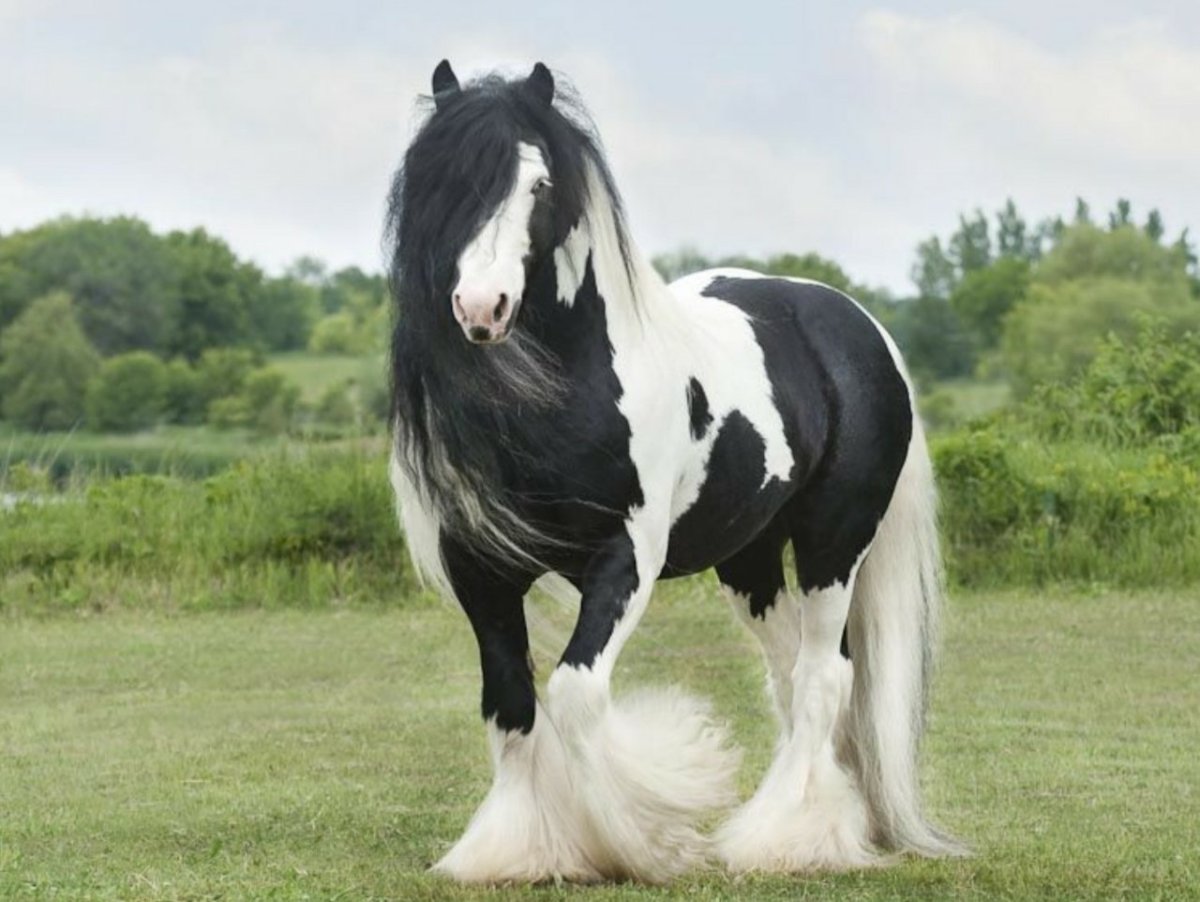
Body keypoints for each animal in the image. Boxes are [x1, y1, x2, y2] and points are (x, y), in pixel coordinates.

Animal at [385, 60, 962, 884]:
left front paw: (640, 841)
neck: (568, 390)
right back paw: (829, 816)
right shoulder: (480, 569)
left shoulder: (625, 556)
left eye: (538, 184)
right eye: (436, 181)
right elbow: (511, 705)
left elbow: (575, 694)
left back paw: (785, 840)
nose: (480, 307)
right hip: (750, 560)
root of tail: (859, 325)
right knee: (791, 674)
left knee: (824, 676)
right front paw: (518, 850)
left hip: (834, 542)